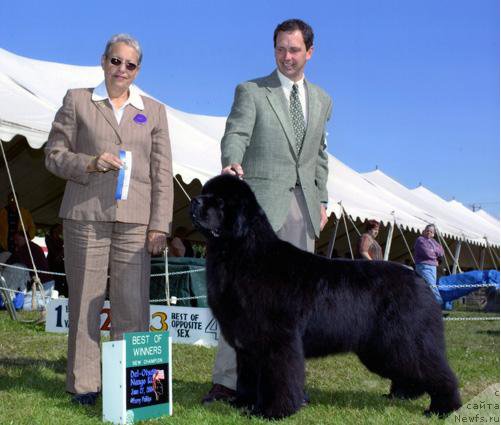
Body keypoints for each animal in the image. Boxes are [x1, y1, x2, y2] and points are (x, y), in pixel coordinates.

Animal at [188, 174, 460, 420]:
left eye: (220, 201)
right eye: (205, 192)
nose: (194, 202)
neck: (242, 253)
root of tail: (420, 279)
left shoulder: (278, 340)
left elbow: (278, 378)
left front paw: (272, 412)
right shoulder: (248, 342)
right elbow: (247, 376)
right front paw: (243, 404)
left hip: (405, 339)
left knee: (436, 370)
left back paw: (443, 408)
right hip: (384, 347)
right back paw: (403, 395)